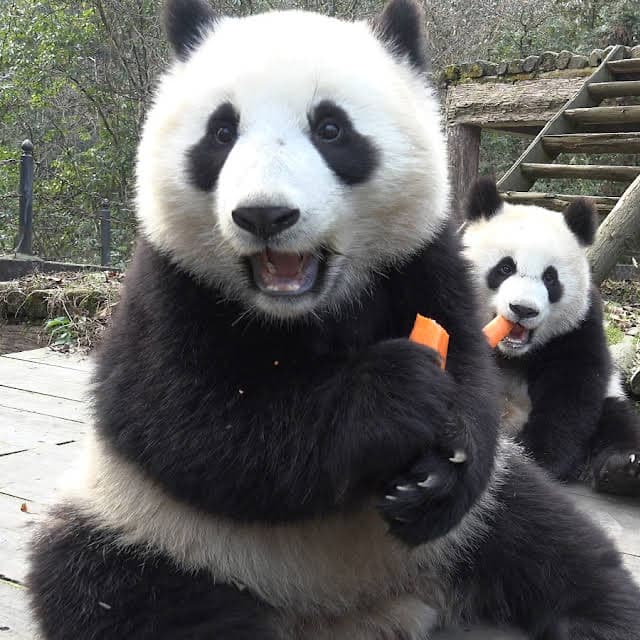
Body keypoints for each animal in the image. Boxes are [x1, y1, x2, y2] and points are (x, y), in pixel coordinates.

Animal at [462, 177, 640, 496]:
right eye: (504, 268)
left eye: (550, 278)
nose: (523, 309)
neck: (511, 353)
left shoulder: (577, 326)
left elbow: (570, 389)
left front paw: (536, 456)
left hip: (610, 398)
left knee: (617, 420)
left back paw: (623, 470)